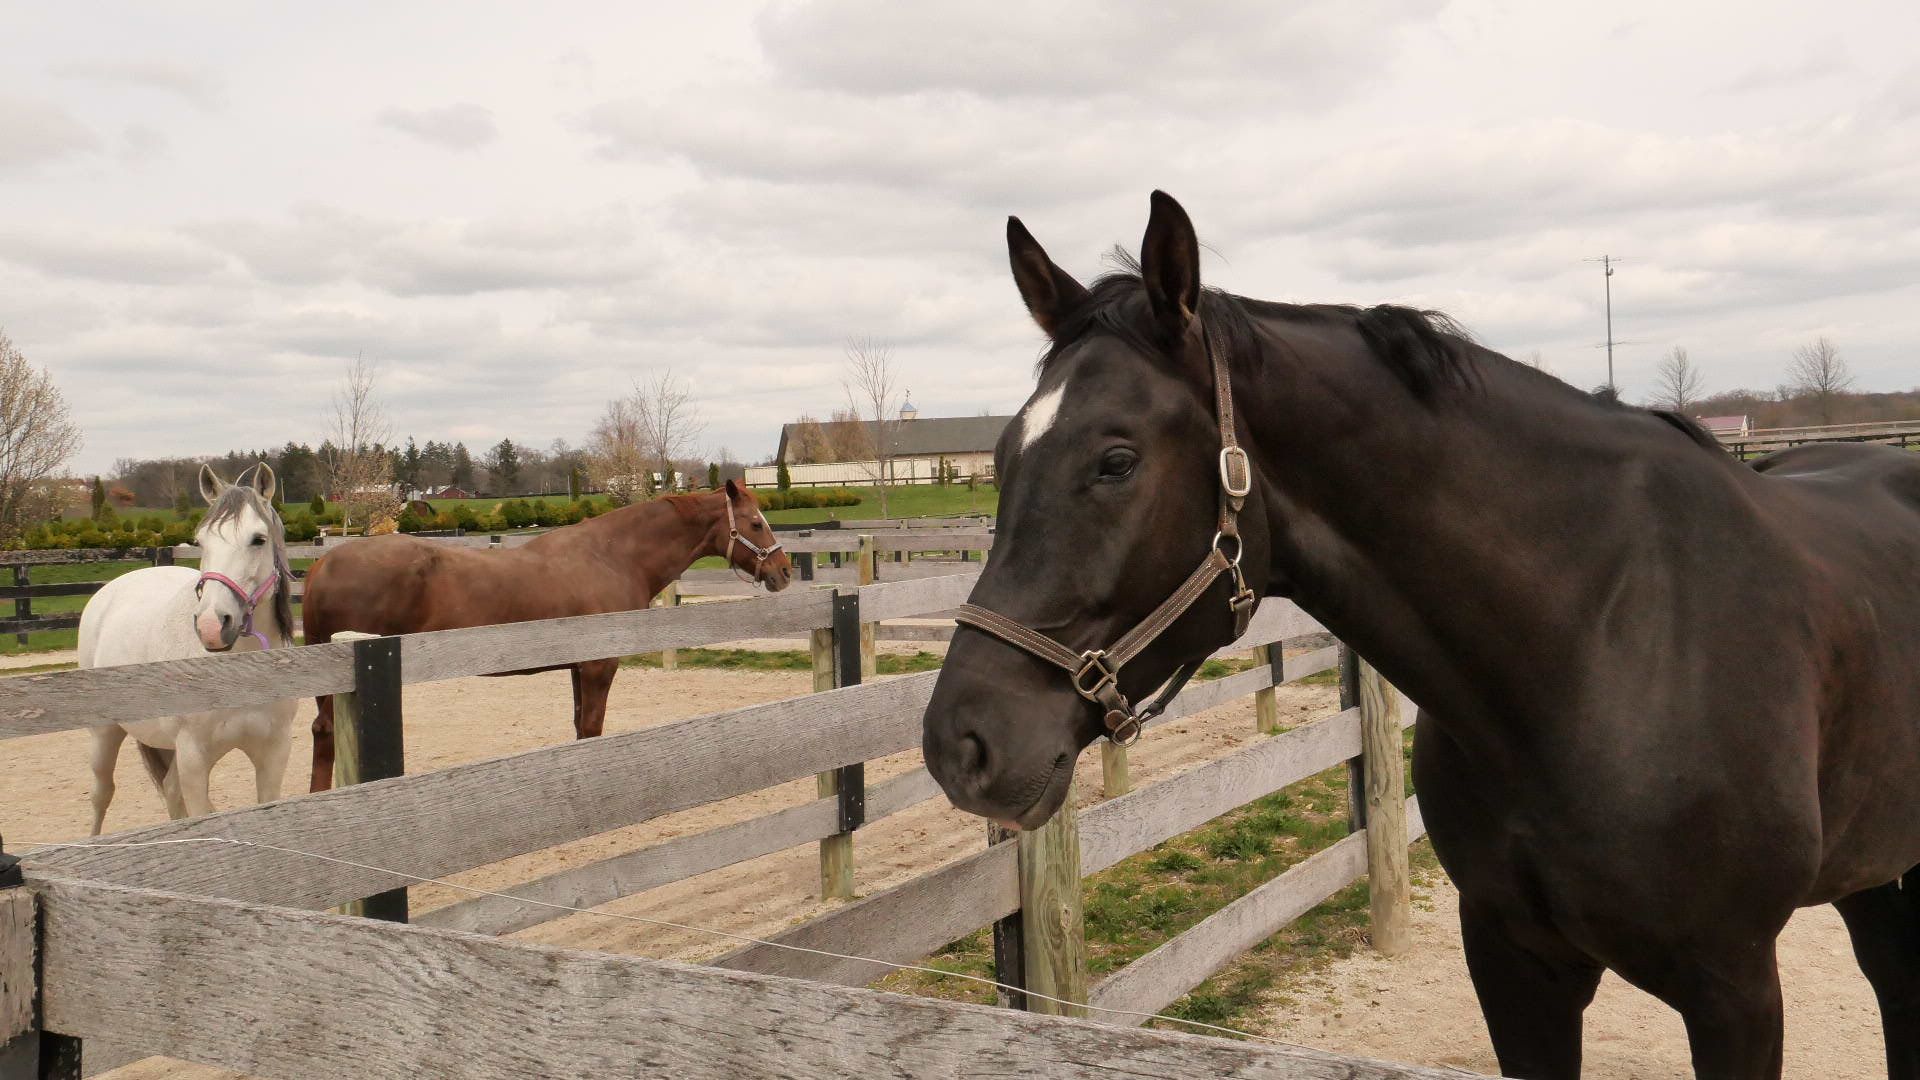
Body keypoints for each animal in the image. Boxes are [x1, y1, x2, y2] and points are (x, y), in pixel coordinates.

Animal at [78, 463, 297, 833]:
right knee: (100, 795)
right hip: (104, 735)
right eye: (201, 541)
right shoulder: (193, 757)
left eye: (258, 539)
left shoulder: (274, 754)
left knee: (168, 790)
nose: (211, 626)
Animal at [301, 479, 793, 792]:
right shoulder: (598, 666)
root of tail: (324, 564)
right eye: (755, 523)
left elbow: (579, 725)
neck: (611, 557)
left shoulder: (578, 666)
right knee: (325, 732)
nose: (784, 570)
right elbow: (592, 727)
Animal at [920, 192, 1920, 1079]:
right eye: (1000, 458)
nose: (959, 743)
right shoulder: (1515, 966)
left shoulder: (1734, 987)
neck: (1604, 640)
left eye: (1116, 461)